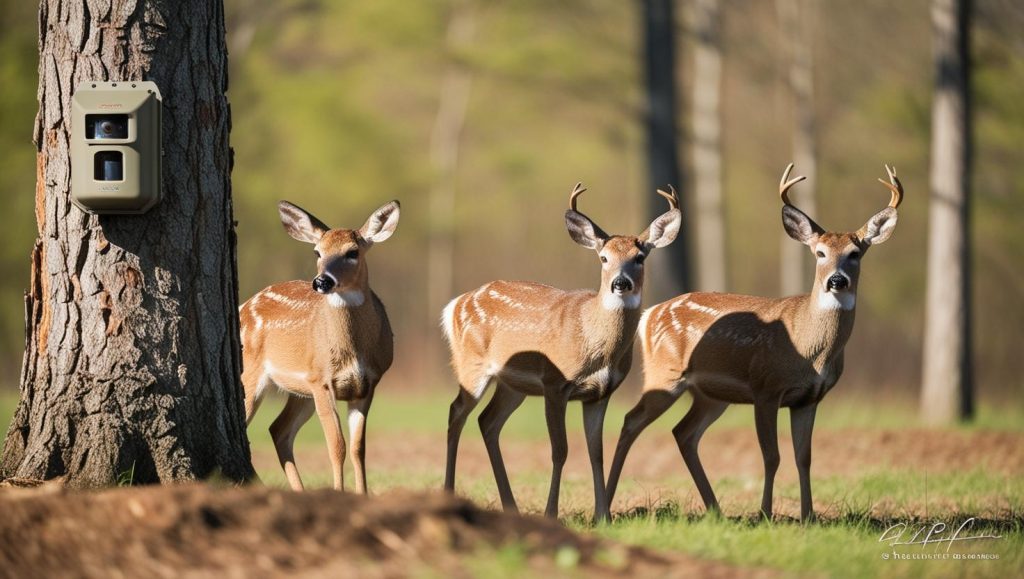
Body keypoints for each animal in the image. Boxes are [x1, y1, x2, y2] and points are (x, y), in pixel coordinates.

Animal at [238, 198, 399, 491]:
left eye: (352, 252)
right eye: (317, 252)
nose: (322, 281)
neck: (352, 352)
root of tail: (243, 305)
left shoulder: (368, 384)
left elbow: (358, 449)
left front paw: (363, 494)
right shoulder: (321, 380)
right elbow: (337, 446)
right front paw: (339, 493)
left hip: (301, 391)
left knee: (278, 429)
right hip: (254, 374)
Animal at [438, 182, 679, 520]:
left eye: (640, 257)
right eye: (603, 258)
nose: (621, 283)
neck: (595, 343)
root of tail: (454, 305)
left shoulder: (600, 393)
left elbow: (596, 452)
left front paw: (602, 515)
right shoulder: (555, 384)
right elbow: (560, 450)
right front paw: (551, 512)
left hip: (513, 385)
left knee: (488, 422)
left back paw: (511, 506)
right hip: (471, 364)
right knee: (456, 413)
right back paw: (448, 493)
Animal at [602, 162, 901, 518]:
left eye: (855, 253)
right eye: (820, 253)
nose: (836, 280)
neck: (812, 350)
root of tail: (649, 315)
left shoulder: (809, 398)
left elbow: (804, 458)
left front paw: (808, 516)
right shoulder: (766, 387)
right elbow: (771, 456)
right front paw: (766, 514)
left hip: (711, 395)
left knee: (684, 432)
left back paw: (716, 509)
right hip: (665, 375)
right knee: (631, 421)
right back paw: (607, 504)